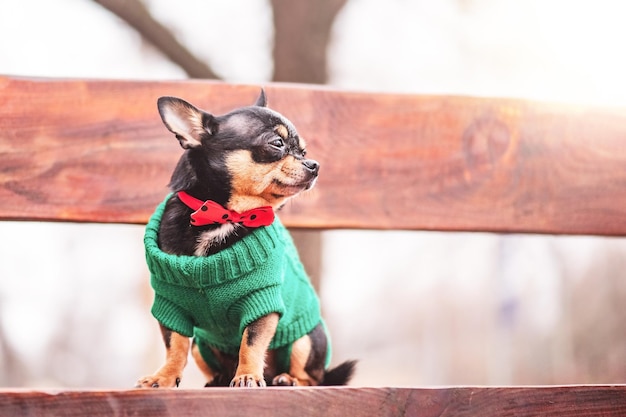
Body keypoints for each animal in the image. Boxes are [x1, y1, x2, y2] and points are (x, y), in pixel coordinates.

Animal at [135, 88, 354, 386]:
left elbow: (250, 343)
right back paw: (217, 380)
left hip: (307, 339)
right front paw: (164, 376)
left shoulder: (261, 301)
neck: (224, 216)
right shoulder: (171, 304)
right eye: (277, 143)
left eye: (303, 151)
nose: (314, 164)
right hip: (202, 346)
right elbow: (175, 346)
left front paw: (248, 375)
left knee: (313, 377)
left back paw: (287, 379)